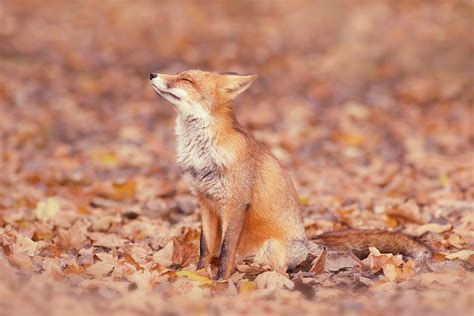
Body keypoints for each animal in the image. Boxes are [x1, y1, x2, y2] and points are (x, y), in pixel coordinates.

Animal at [149, 70, 434, 280]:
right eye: (179, 75)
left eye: (186, 80)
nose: (152, 73)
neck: (202, 155)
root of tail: (307, 242)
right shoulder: (205, 202)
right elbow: (205, 247)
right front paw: (197, 275)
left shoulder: (234, 204)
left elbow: (226, 249)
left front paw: (220, 280)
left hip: (270, 247)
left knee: (280, 269)